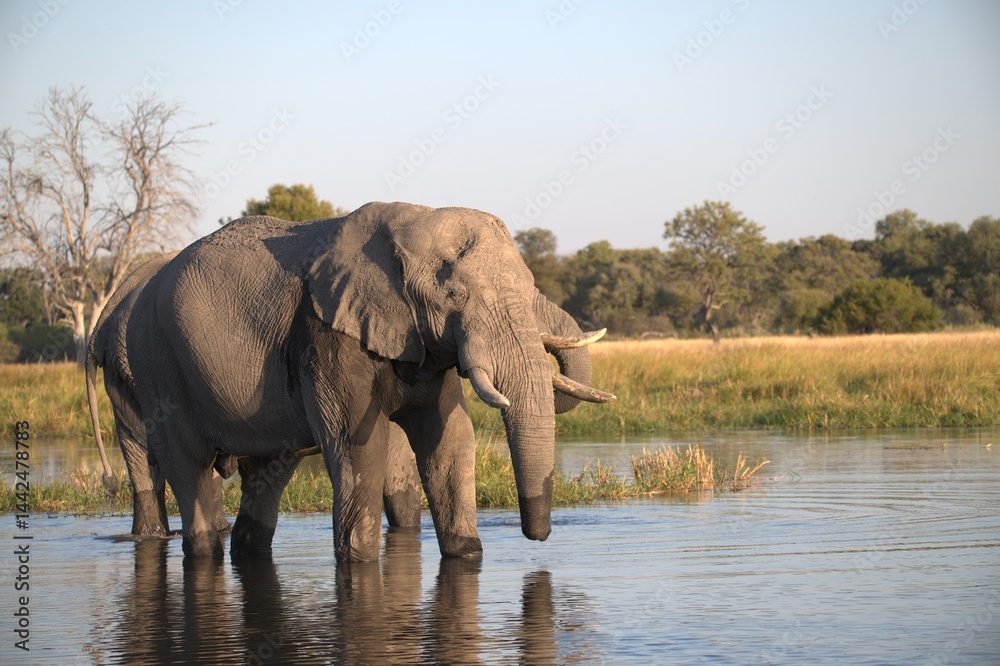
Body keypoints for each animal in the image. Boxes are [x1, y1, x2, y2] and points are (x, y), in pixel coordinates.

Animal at [121, 201, 614, 562]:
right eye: (455, 294)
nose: (536, 535)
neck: (409, 219)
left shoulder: (421, 343)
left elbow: (451, 439)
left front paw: (466, 553)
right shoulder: (327, 334)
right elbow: (360, 446)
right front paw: (358, 562)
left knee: (267, 474)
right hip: (156, 359)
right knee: (190, 468)